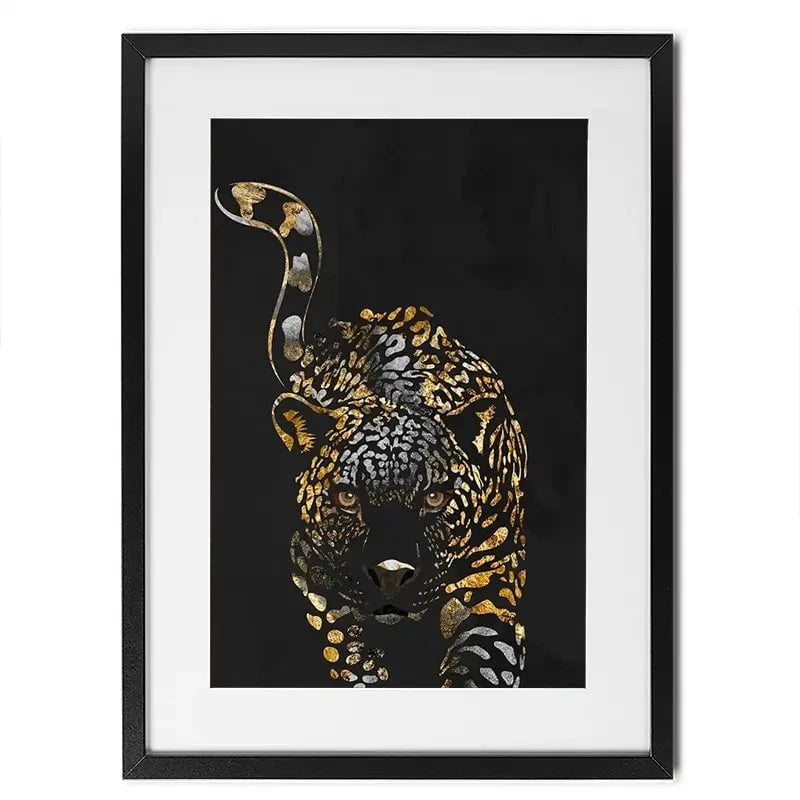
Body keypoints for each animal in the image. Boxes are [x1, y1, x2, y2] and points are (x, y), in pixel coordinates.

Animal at [215, 181, 528, 687]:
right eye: (347, 497)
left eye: (435, 497)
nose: (391, 573)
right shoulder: (321, 585)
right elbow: (354, 658)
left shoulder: (493, 584)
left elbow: (482, 663)